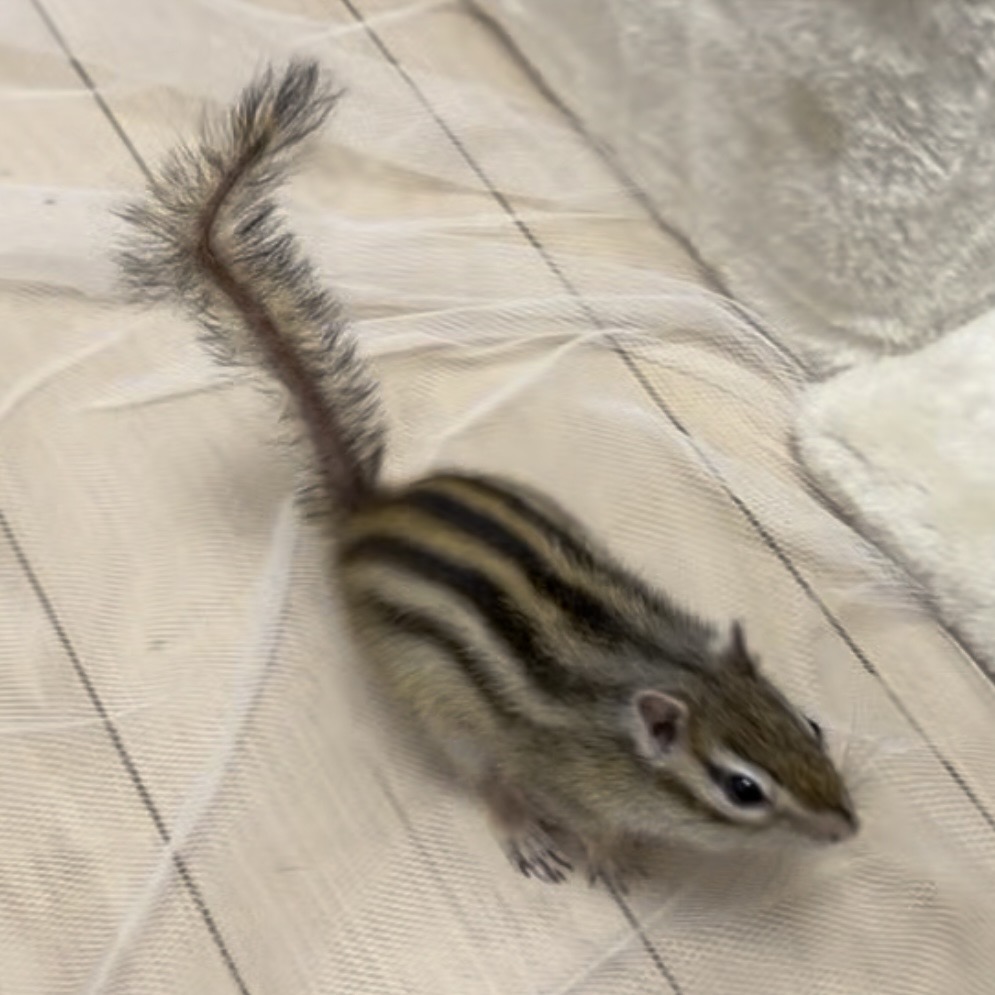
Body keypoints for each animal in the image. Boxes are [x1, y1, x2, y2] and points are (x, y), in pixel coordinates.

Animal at [115, 60, 858, 890]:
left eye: (809, 724)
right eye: (742, 788)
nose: (845, 826)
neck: (642, 683)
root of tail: (373, 506)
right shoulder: (562, 770)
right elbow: (560, 805)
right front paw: (607, 852)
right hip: (441, 707)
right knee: (484, 777)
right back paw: (525, 830)